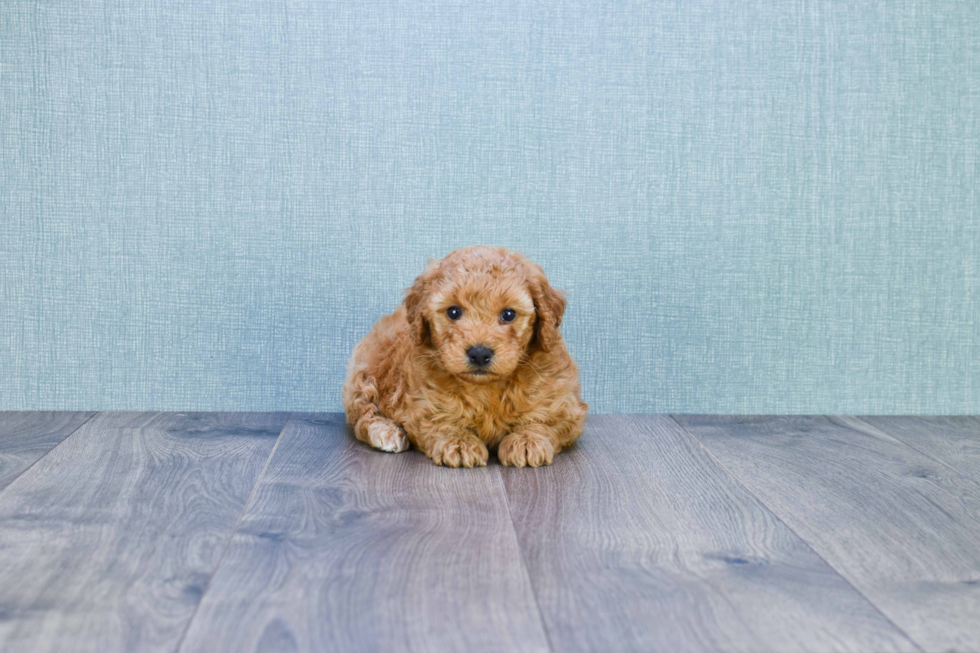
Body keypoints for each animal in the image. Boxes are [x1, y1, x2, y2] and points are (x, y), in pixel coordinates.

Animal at [344, 247, 588, 466]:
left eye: (508, 314)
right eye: (453, 312)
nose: (479, 353)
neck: (486, 388)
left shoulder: (561, 401)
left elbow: (544, 419)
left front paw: (527, 441)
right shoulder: (423, 401)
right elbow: (440, 419)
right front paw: (459, 442)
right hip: (365, 372)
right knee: (361, 413)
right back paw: (386, 432)